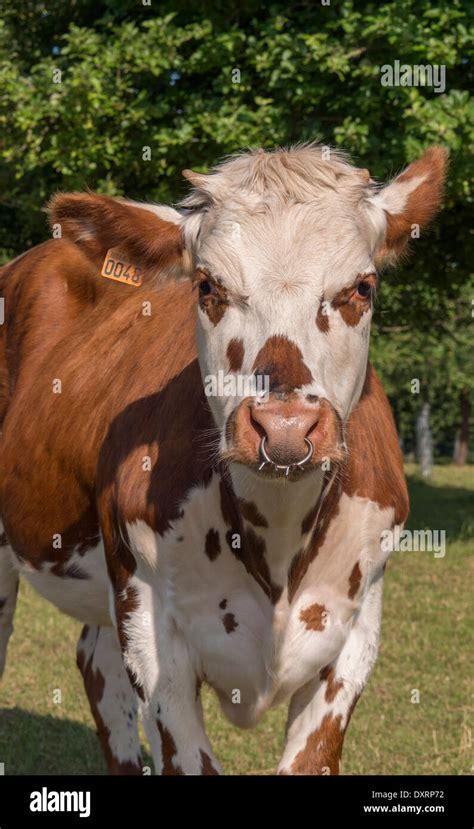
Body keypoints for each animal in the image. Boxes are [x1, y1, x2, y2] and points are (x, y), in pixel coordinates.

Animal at [0, 141, 448, 768]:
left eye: (362, 288)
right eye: (207, 286)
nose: (284, 426)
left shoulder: (356, 631)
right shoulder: (150, 629)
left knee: (96, 664)